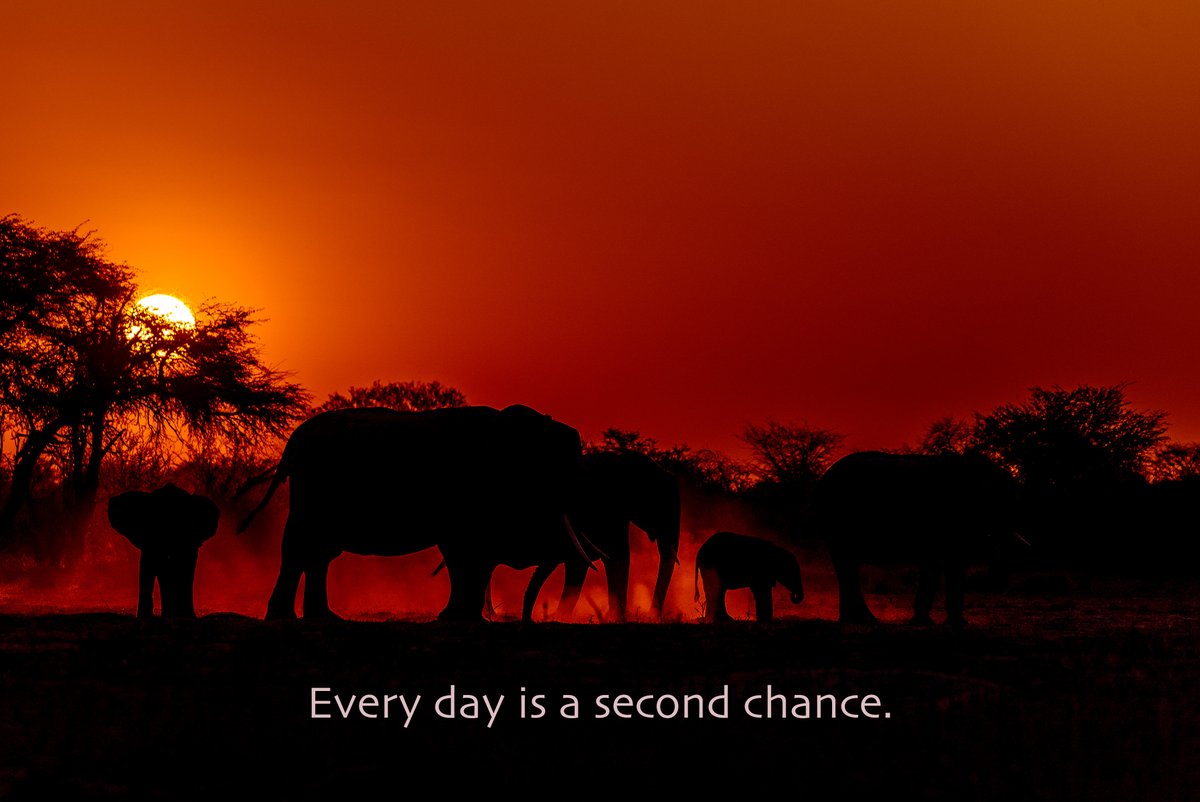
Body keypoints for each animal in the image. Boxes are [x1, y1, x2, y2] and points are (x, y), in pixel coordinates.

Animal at [237, 404, 593, 622]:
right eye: (560, 462)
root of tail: (293, 440)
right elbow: (462, 549)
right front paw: (456, 619)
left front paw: (460, 618)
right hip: (314, 486)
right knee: (300, 545)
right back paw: (285, 618)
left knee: (318, 552)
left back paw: (322, 618)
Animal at [814, 450, 1018, 626]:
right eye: (1001, 500)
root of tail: (824, 479)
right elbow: (944, 563)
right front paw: (933, 622)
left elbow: (948, 564)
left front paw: (950, 622)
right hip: (839, 520)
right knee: (847, 565)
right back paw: (865, 619)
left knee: (846, 568)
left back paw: (854, 619)